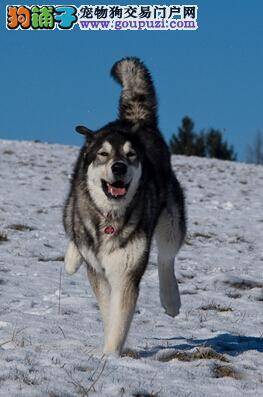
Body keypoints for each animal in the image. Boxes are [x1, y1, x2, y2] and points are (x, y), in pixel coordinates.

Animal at [63, 56, 188, 356]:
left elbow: (120, 315)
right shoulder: (98, 270)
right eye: (104, 154)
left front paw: (111, 356)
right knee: (74, 229)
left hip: (172, 221)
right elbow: (110, 310)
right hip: (72, 204)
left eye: (131, 155)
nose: (119, 167)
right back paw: (72, 258)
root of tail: (136, 119)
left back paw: (171, 299)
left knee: (166, 256)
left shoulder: (127, 269)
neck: (110, 216)